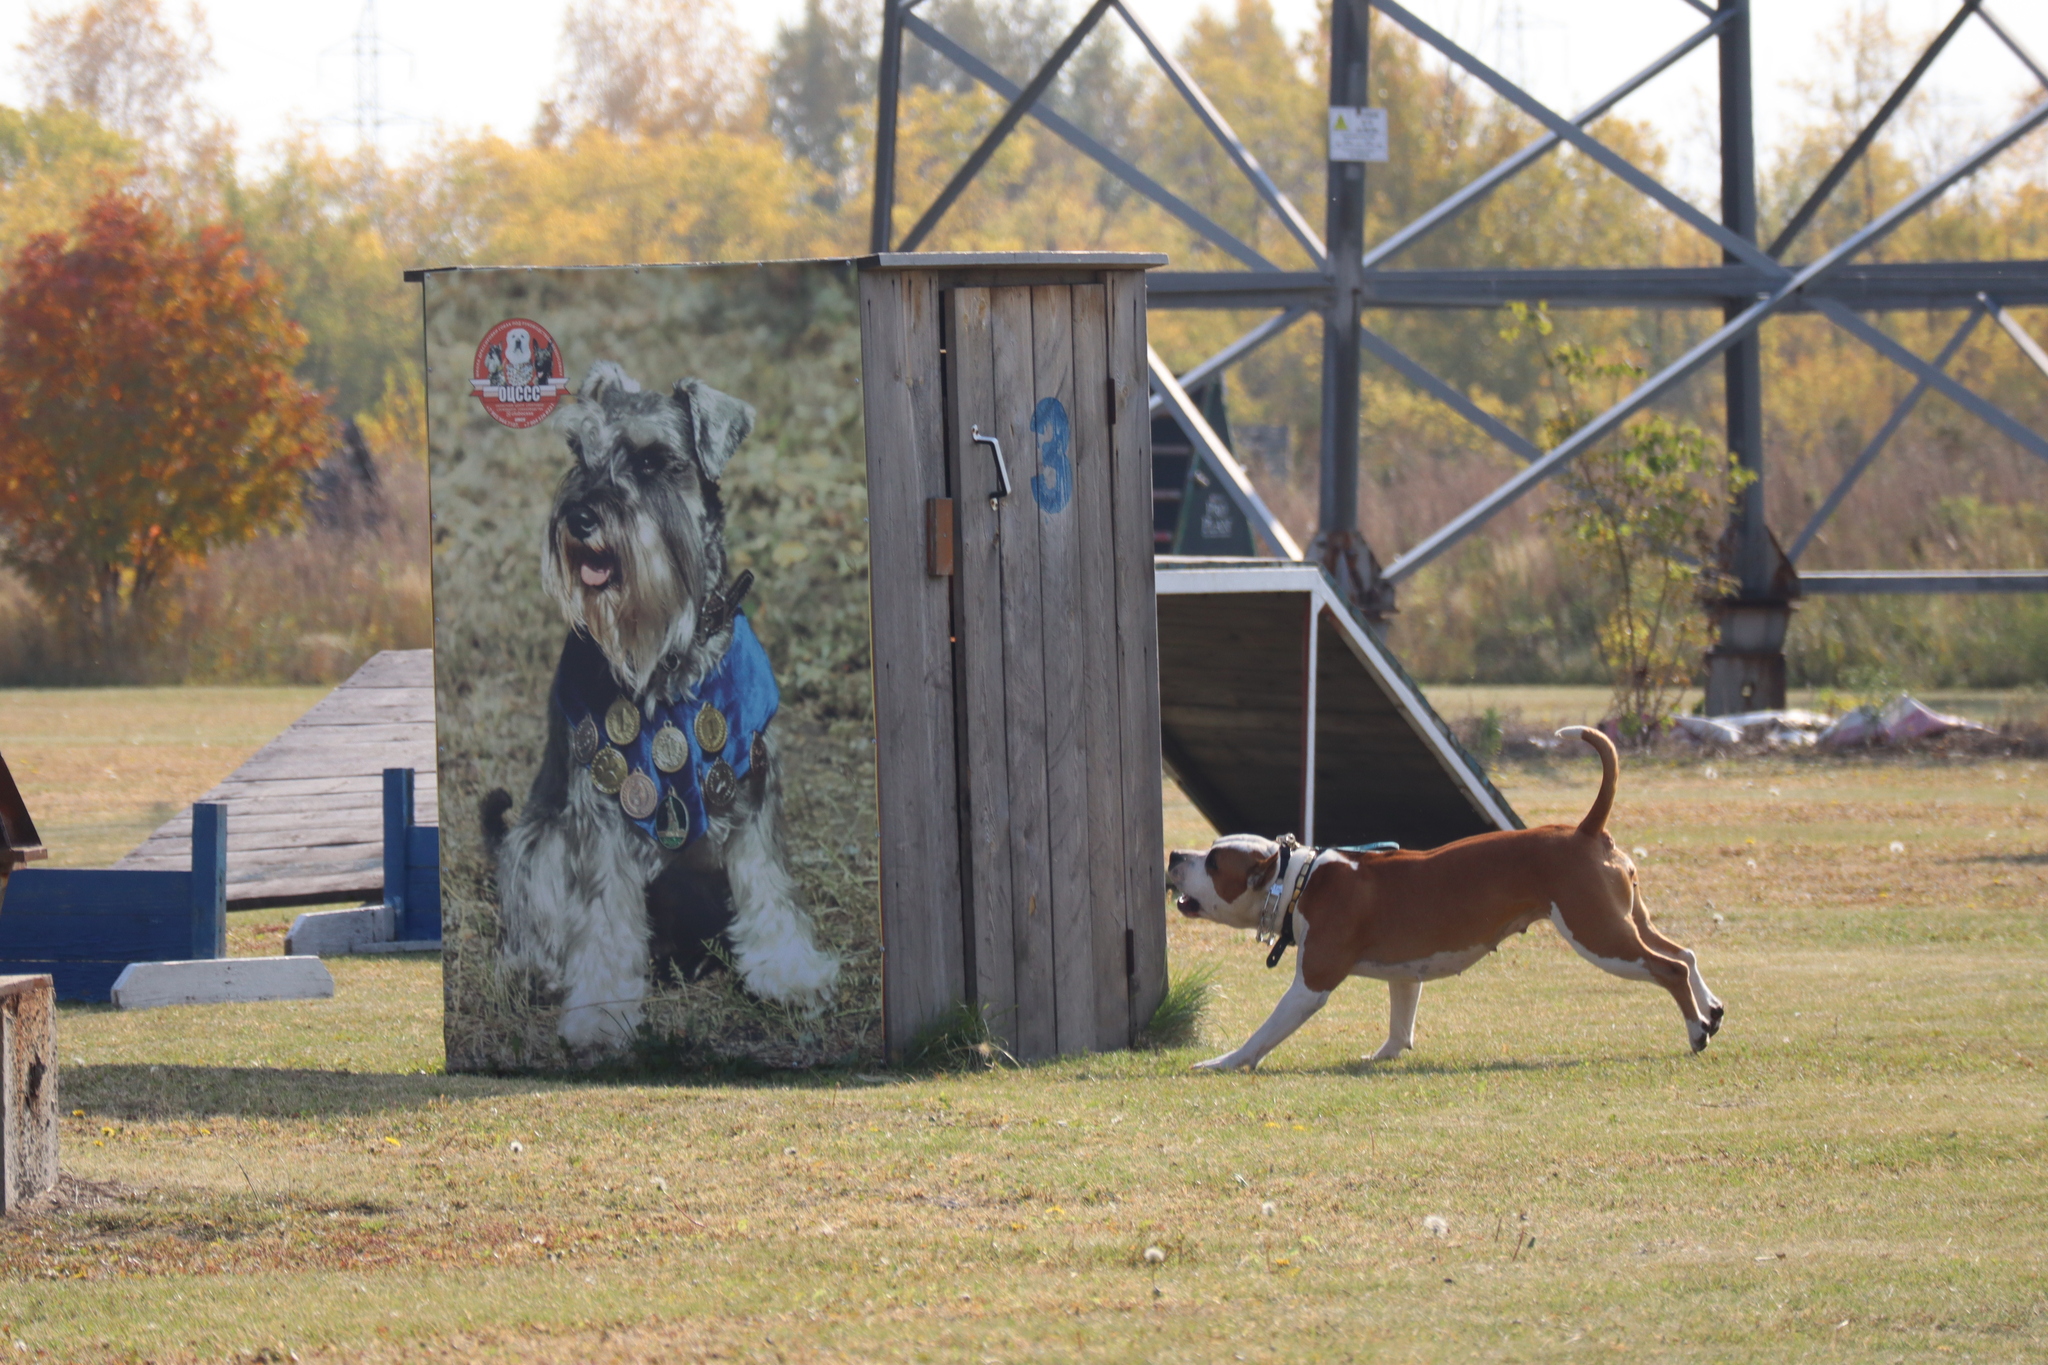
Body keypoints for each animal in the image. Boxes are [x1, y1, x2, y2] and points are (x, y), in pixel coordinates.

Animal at [1163, 732, 1720, 1072]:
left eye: (1214, 862)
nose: (1173, 854)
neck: (1299, 878)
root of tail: (1585, 830)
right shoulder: (1405, 973)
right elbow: (1400, 1021)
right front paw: (1385, 1055)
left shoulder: (1311, 985)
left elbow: (1264, 1032)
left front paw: (1225, 1062)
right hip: (1623, 920)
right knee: (1685, 952)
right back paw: (1711, 1009)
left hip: (1598, 934)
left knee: (1668, 968)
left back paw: (1696, 1031)